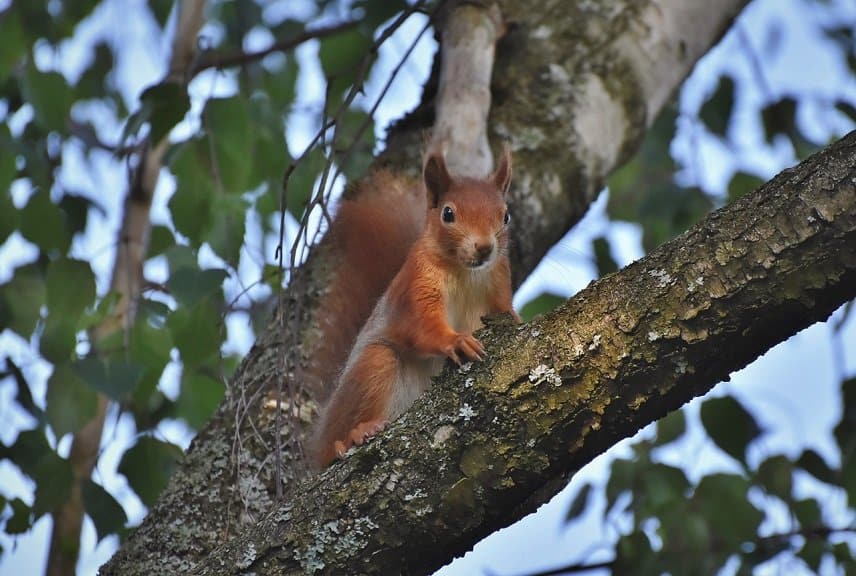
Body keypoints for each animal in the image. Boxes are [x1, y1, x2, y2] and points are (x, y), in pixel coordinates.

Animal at [312, 146, 520, 466]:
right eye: (448, 213)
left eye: (506, 215)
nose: (485, 248)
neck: (465, 273)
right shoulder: (415, 286)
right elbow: (420, 325)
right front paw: (456, 341)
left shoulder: (498, 284)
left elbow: (505, 312)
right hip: (373, 366)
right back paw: (351, 437)